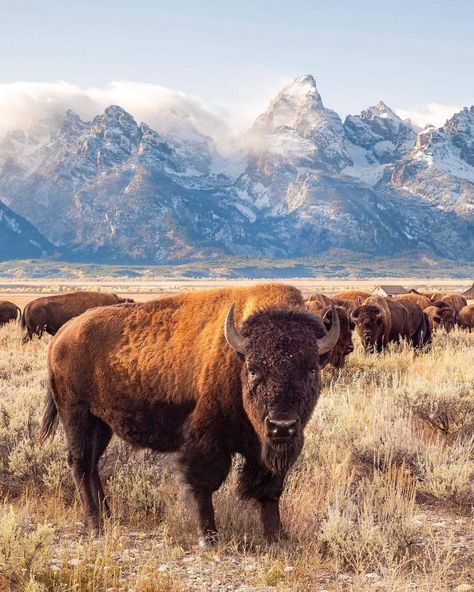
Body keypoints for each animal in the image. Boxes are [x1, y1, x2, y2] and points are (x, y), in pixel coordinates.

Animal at [39, 284, 338, 548]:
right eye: (254, 370)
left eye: (311, 369)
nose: (281, 425)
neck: (237, 356)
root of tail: (62, 334)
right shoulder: (207, 440)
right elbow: (204, 484)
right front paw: (208, 537)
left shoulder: (266, 449)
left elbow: (270, 488)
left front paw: (276, 538)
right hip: (76, 414)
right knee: (79, 462)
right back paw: (95, 524)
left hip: (101, 424)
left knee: (92, 464)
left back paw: (108, 516)